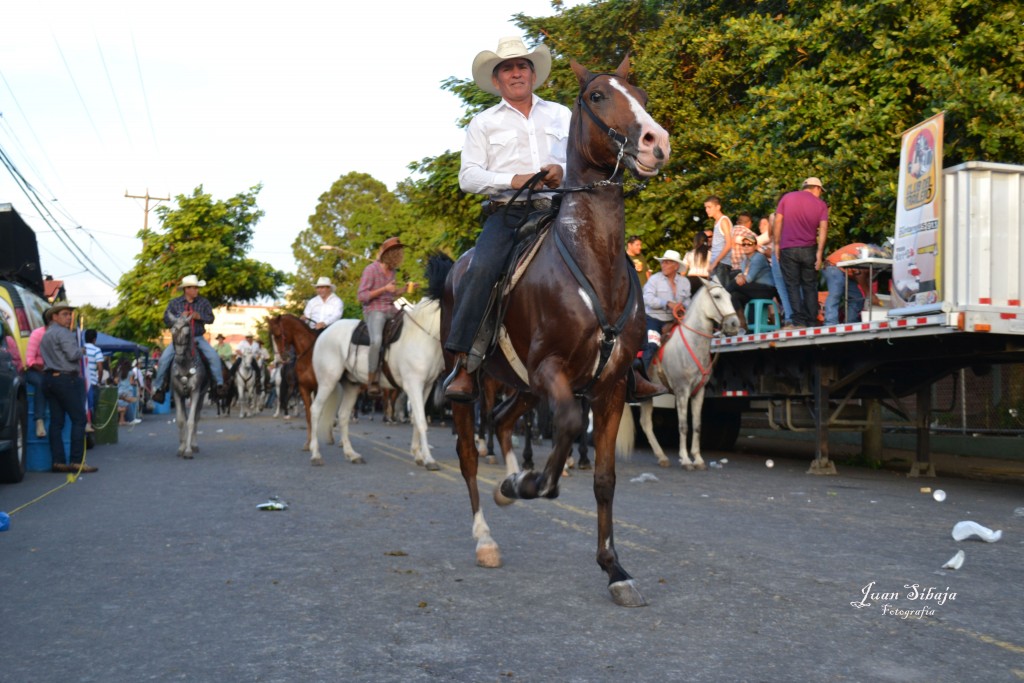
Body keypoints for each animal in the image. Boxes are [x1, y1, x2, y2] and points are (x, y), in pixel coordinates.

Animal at [169, 315, 207, 458]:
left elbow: (191, 421)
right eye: (172, 332)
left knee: (196, 418)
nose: (179, 357)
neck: (185, 365)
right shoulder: (177, 394)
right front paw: (182, 447)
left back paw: (194, 445)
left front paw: (188, 450)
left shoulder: (195, 393)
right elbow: (181, 421)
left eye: (186, 333)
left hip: (202, 395)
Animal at [268, 317, 319, 450]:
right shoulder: (304, 388)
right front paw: (309, 443)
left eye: (278, 336)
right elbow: (309, 414)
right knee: (283, 399)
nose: (278, 360)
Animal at [303, 253, 448, 466]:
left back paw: (352, 454)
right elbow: (421, 421)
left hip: (351, 385)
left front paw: (418, 454)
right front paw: (429, 459)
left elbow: (416, 419)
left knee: (343, 416)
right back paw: (315, 454)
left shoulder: (426, 386)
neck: (423, 334)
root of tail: (324, 333)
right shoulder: (413, 384)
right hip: (328, 381)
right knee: (315, 411)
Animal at [438, 56, 671, 606]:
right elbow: (564, 424)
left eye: (641, 94)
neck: (594, 263)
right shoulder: (551, 371)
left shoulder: (609, 387)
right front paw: (532, 485)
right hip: (470, 383)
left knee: (502, 421)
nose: (657, 141)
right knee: (468, 455)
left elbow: (605, 478)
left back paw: (511, 482)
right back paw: (487, 535)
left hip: (519, 385)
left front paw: (615, 568)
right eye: (598, 97)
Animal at [634, 278, 741, 471]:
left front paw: (698, 459)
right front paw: (685, 459)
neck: (692, 343)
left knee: (645, 423)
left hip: (645, 395)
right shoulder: (681, 391)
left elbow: (697, 425)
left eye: (729, 296)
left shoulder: (699, 392)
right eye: (717, 296)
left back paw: (662, 457)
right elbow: (683, 425)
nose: (734, 324)